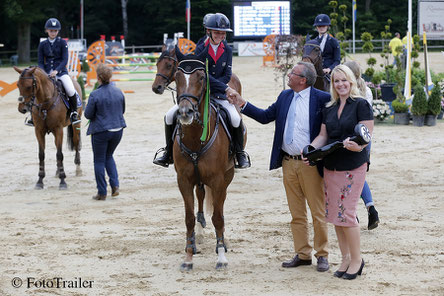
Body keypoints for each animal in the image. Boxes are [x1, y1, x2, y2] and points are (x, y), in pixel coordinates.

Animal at [173, 46, 243, 270]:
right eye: (177, 76)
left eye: (202, 77)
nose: (185, 112)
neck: (196, 138)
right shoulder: (184, 180)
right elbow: (189, 217)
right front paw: (188, 256)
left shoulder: (218, 179)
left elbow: (218, 217)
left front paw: (221, 256)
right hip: (199, 179)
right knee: (202, 197)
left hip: (227, 176)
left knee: (219, 206)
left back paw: (223, 241)